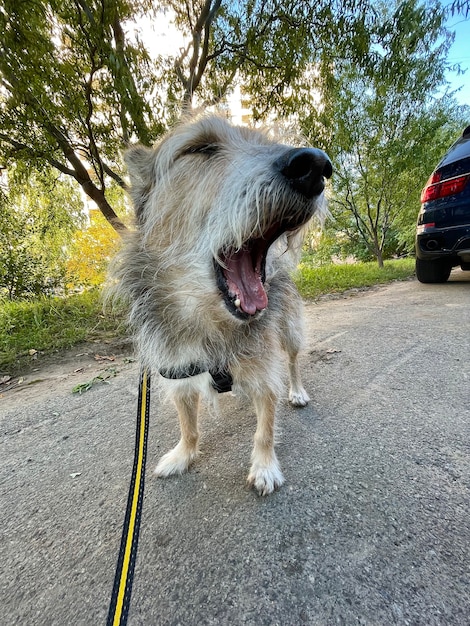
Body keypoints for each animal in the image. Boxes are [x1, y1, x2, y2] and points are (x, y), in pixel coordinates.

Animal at [113, 112, 330, 492]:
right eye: (200, 148)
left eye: (265, 142)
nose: (315, 164)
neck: (212, 325)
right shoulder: (177, 374)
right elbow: (188, 424)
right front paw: (182, 456)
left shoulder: (265, 372)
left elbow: (265, 429)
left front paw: (264, 466)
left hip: (290, 331)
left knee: (293, 361)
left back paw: (297, 390)